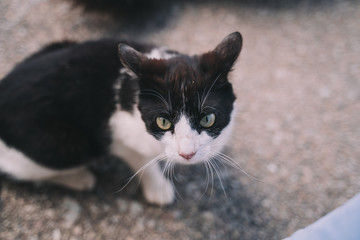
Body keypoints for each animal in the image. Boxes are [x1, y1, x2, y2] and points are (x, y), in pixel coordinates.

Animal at [0, 31, 243, 204]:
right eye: (163, 122)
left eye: (207, 119)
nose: (187, 153)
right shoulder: (117, 135)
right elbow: (141, 161)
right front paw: (158, 188)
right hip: (64, 145)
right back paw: (79, 178)